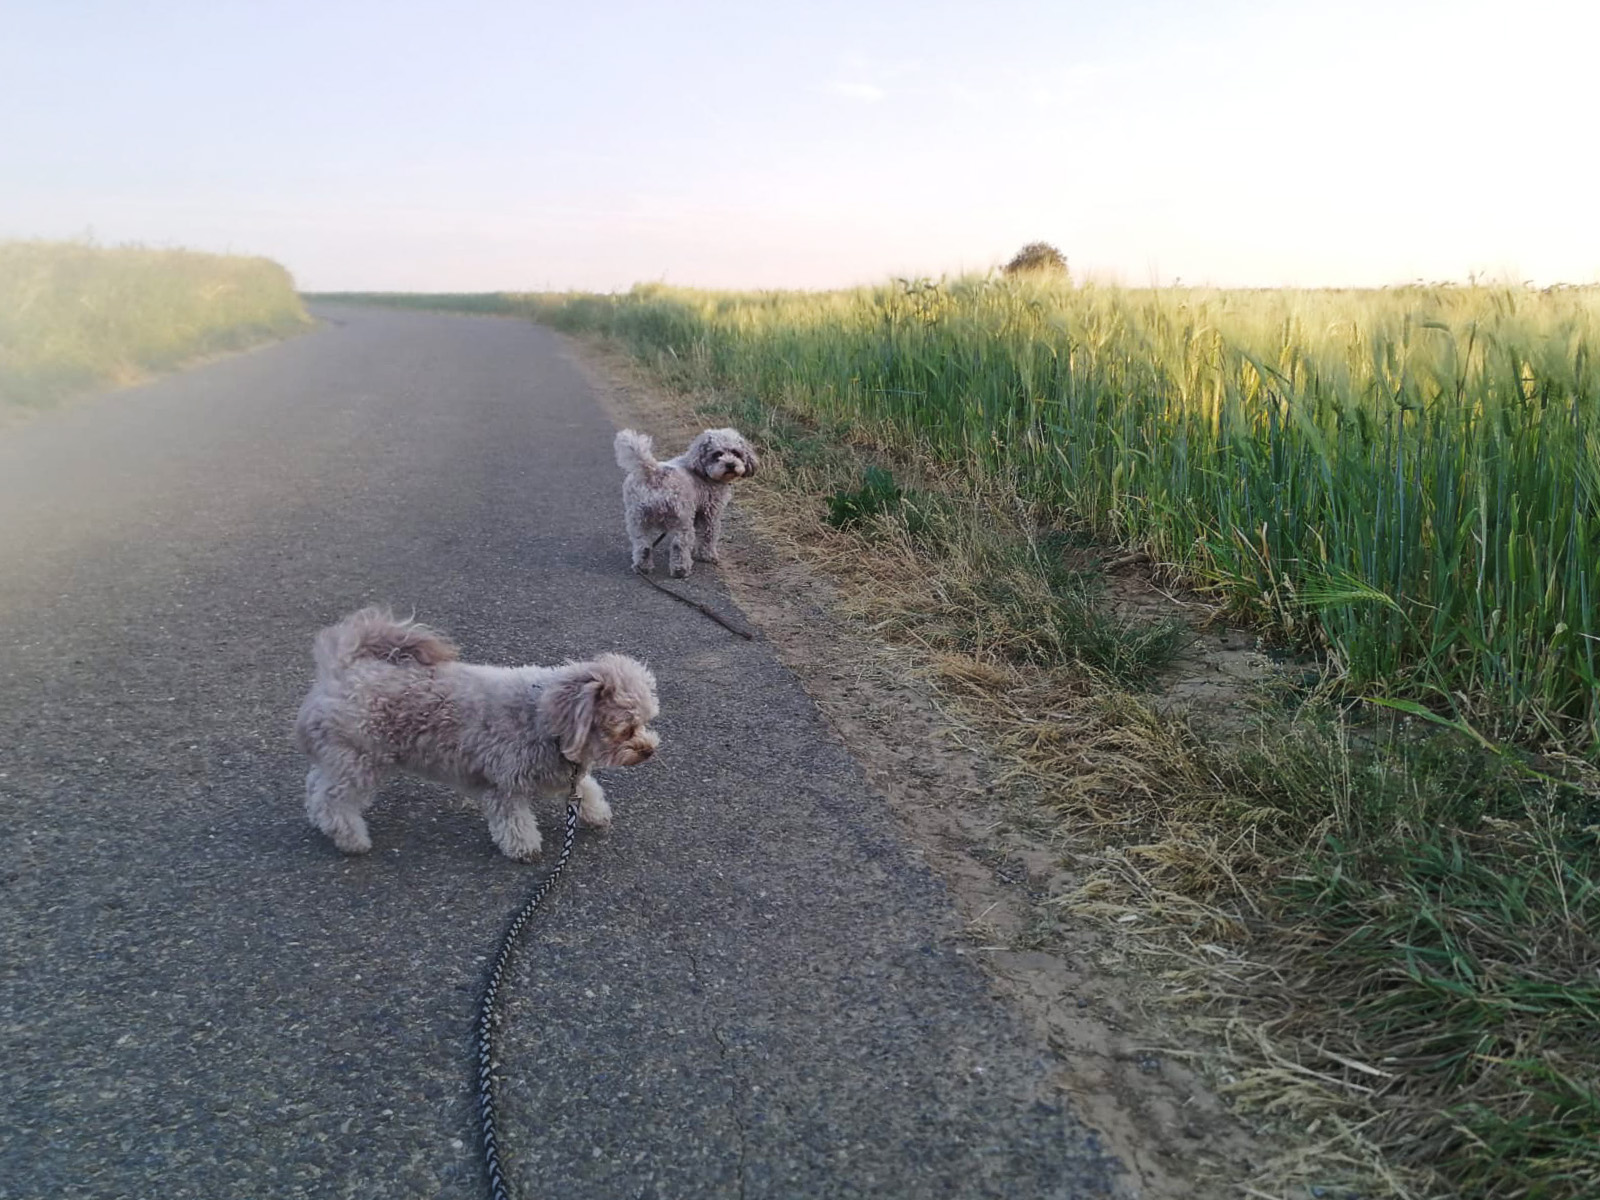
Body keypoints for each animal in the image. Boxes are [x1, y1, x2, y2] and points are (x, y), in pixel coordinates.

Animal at [292, 611, 656, 864]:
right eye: (626, 730)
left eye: (646, 723)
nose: (649, 750)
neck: (544, 720)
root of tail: (341, 669)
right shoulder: (503, 785)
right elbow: (514, 822)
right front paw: (524, 849)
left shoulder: (558, 774)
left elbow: (588, 790)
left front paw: (597, 814)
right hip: (359, 760)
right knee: (333, 801)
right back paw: (351, 839)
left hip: (342, 758)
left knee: (316, 785)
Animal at [614, 428, 758, 579]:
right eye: (717, 454)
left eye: (736, 453)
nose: (730, 464)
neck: (702, 471)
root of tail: (654, 472)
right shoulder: (709, 512)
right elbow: (708, 535)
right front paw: (707, 556)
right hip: (681, 520)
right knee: (679, 545)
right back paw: (681, 570)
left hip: (637, 520)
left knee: (642, 545)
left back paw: (643, 567)